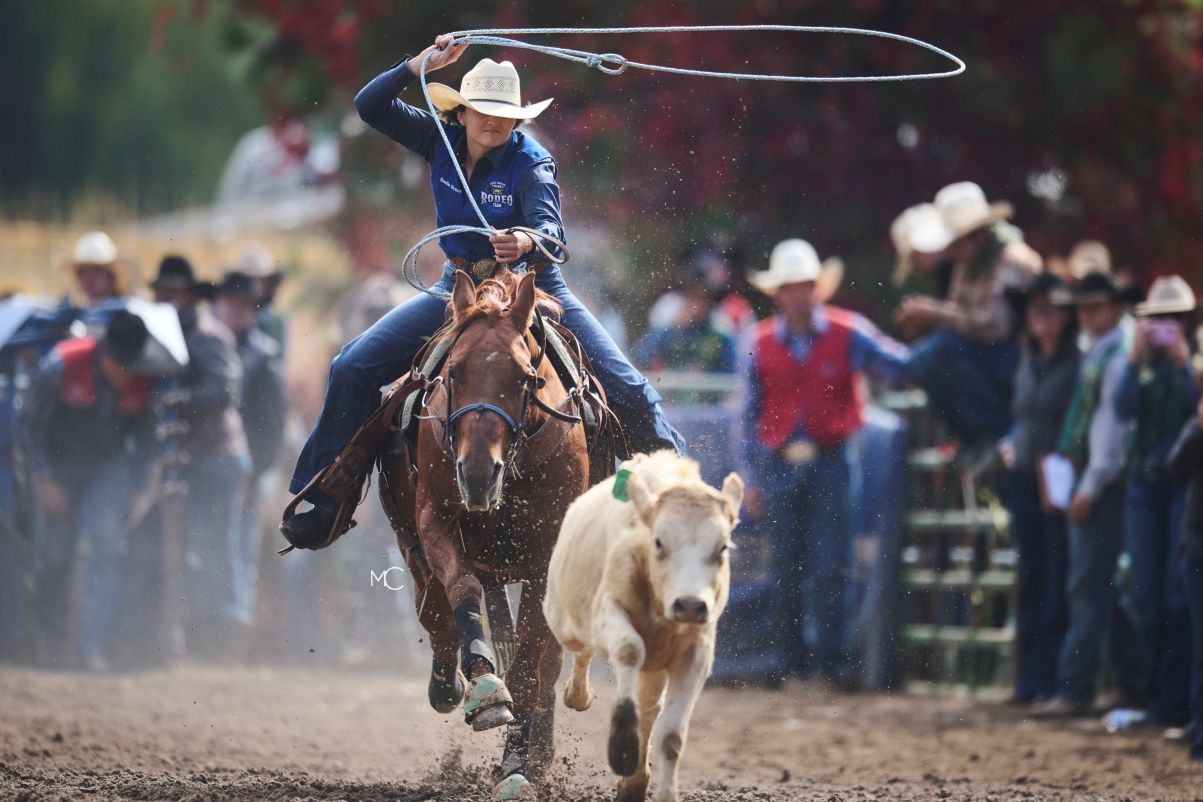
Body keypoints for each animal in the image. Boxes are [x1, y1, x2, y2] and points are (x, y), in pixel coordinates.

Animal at [543, 450, 743, 802]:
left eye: (722, 548)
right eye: (659, 542)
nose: (690, 605)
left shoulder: (695, 653)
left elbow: (671, 736)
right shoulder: (610, 613)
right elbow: (628, 650)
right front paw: (622, 743)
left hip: (656, 667)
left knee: (650, 707)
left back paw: (635, 783)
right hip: (565, 622)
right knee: (583, 650)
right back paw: (578, 695)